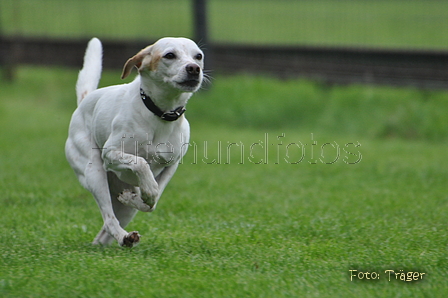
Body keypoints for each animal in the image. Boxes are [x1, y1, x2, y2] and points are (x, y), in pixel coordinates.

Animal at [65, 37, 205, 247]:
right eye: (170, 55)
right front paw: (148, 189)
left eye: (198, 56)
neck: (160, 114)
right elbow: (141, 163)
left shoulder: (171, 165)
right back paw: (122, 235)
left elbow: (152, 203)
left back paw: (122, 237)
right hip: (94, 172)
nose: (194, 68)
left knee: (107, 229)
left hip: (123, 205)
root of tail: (84, 101)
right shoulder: (111, 153)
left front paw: (137, 197)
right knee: (109, 218)